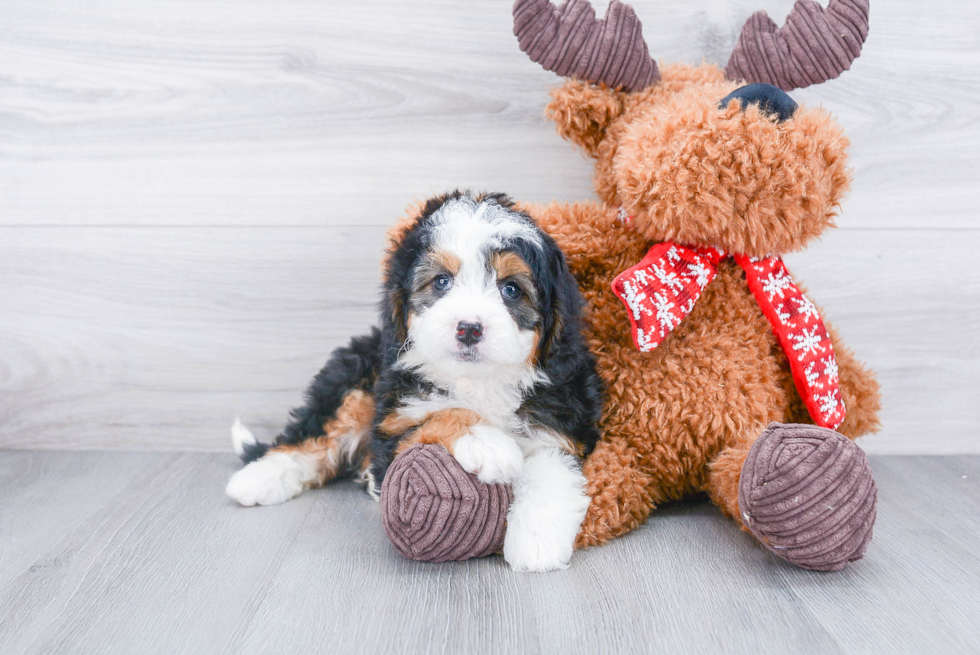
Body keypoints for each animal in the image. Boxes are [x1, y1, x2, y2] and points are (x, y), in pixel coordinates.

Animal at [226, 192, 600, 572]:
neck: (478, 381)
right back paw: (257, 479)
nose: (469, 328)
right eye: (441, 282)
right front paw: (487, 443)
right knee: (315, 433)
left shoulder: (563, 420)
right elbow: (440, 413)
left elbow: (550, 462)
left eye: (511, 289)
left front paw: (537, 541)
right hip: (354, 376)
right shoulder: (393, 428)